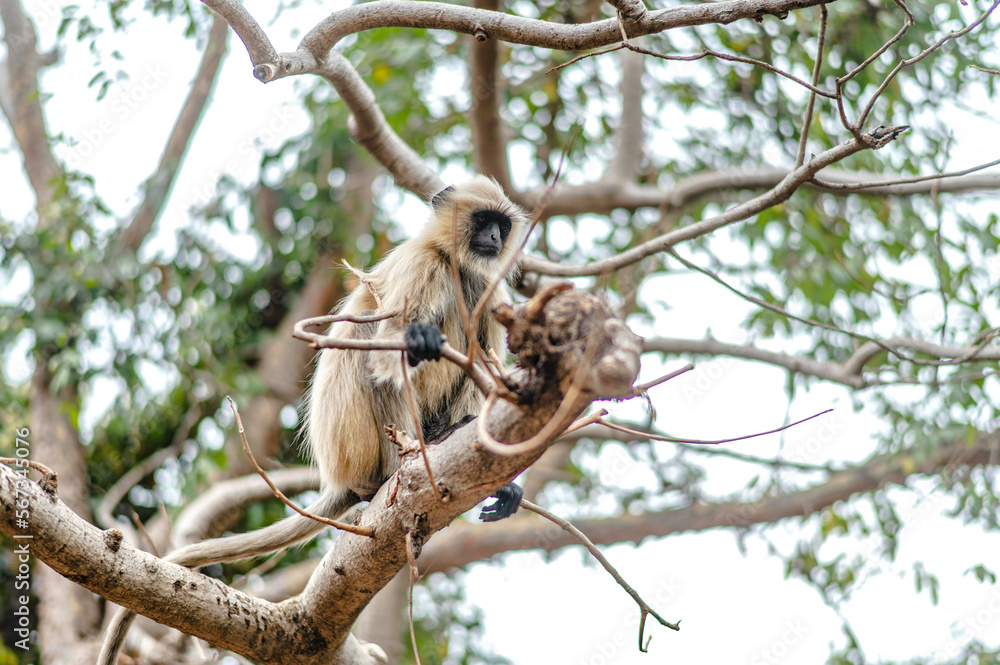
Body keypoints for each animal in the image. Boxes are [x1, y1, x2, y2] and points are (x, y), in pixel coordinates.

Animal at [99, 176, 532, 664]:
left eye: (501, 225)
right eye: (483, 220)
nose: (494, 238)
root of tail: (339, 478)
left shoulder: (487, 289)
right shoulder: (423, 267)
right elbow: (385, 358)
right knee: (368, 334)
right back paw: (398, 470)